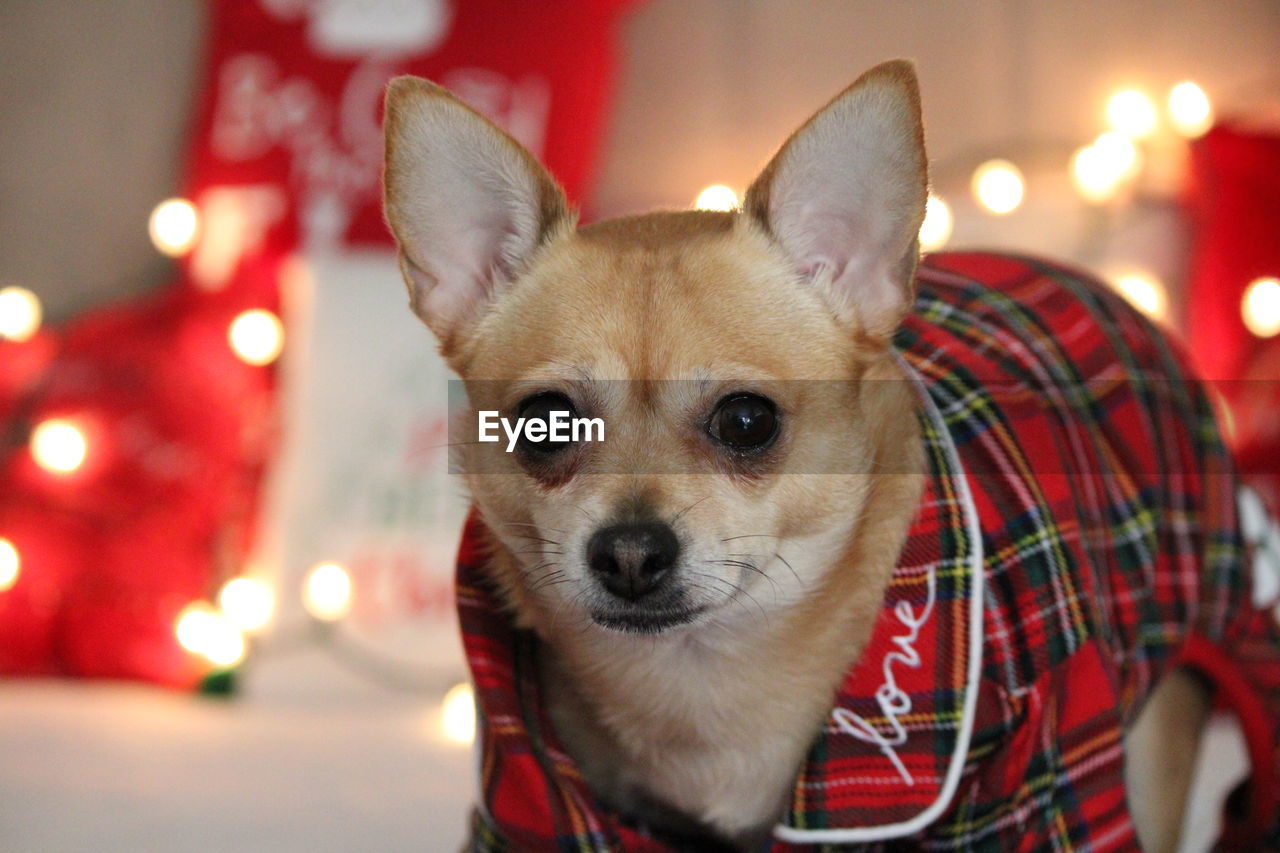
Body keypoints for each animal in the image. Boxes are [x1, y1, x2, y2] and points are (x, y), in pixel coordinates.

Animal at [378, 59, 1280, 850]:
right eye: (545, 423)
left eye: (747, 421)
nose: (630, 552)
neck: (707, 683)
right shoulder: (540, 803)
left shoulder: (1042, 782)